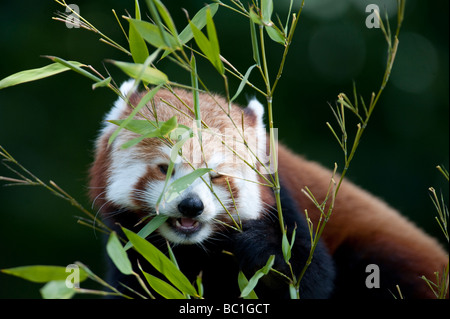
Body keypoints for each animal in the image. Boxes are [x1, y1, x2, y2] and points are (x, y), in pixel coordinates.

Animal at [89, 80, 448, 300]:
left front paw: (257, 244)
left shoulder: (282, 200)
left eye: (216, 175)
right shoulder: (131, 246)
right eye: (165, 168)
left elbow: (308, 275)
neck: (195, 249)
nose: (191, 206)